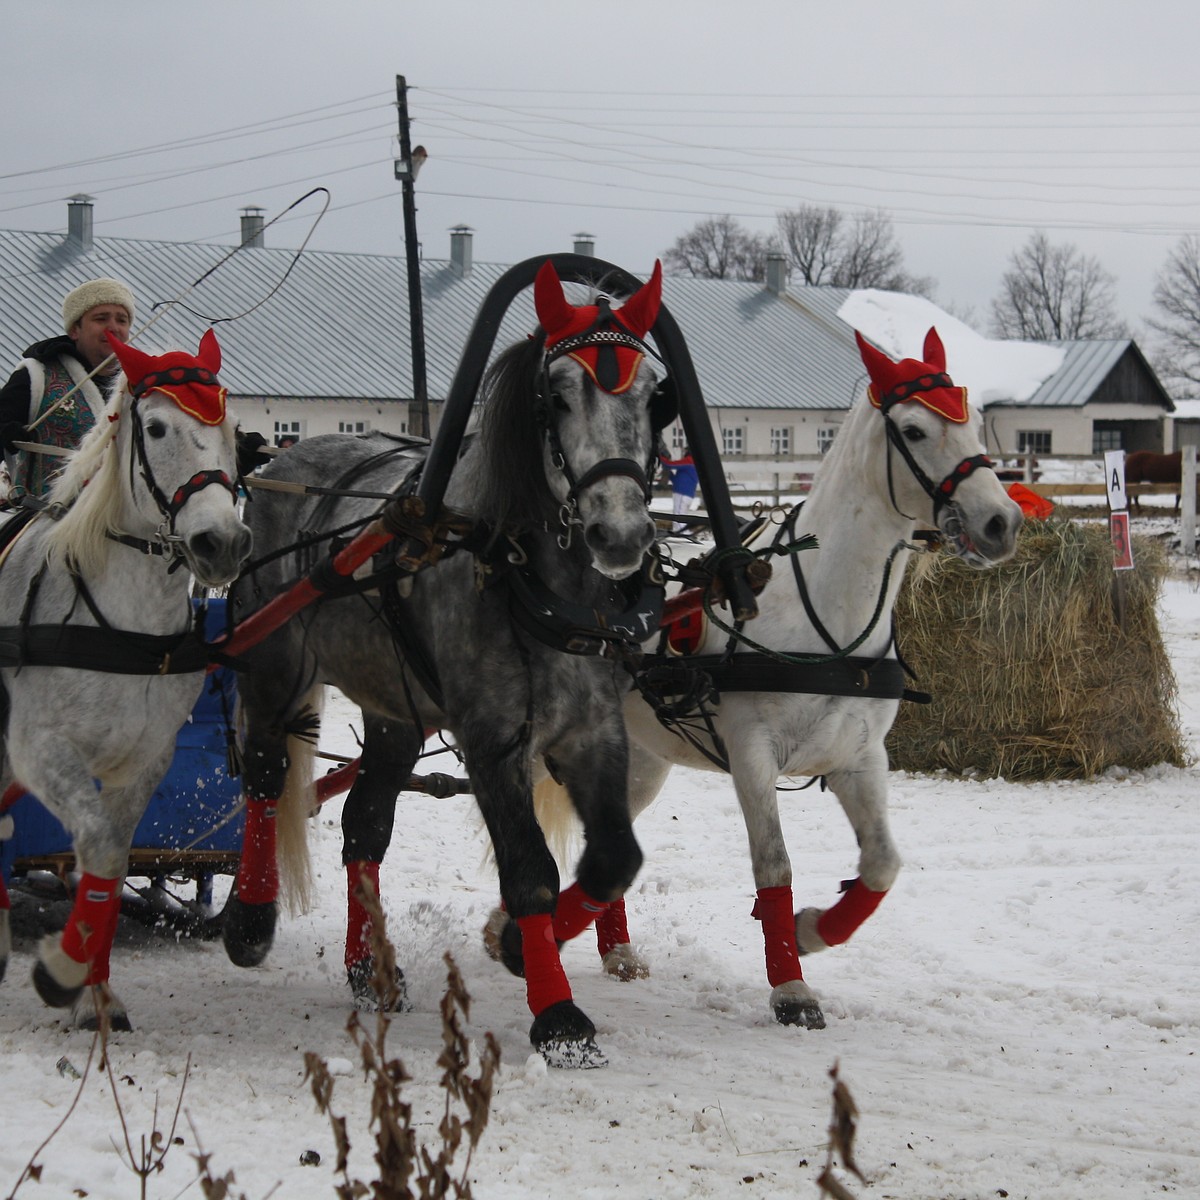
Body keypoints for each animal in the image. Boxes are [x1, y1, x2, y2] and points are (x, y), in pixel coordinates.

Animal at [0, 331, 250, 1032]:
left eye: (233, 429)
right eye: (158, 427)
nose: (222, 542)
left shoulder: (143, 761)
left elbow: (108, 863)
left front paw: (96, 992)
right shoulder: (40, 750)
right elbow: (100, 851)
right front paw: (62, 973)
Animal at [525, 326, 1022, 1032]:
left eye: (977, 422)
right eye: (915, 430)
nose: (1001, 522)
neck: (826, 613)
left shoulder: (860, 759)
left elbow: (882, 865)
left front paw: (813, 931)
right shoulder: (753, 755)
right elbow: (774, 862)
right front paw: (790, 987)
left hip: (642, 761)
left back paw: (614, 949)